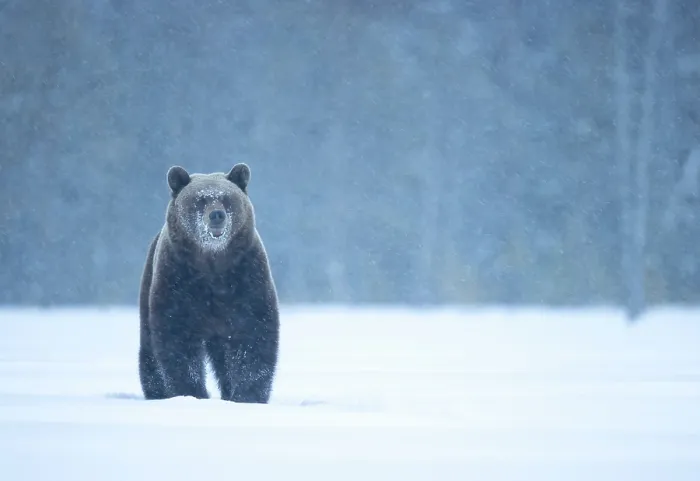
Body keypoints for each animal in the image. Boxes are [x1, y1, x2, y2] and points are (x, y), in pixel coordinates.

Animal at [138, 163, 280, 404]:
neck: (212, 264)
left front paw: (247, 396)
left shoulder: (247, 277)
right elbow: (176, 340)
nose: (216, 215)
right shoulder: (177, 280)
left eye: (226, 198)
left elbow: (254, 335)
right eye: (200, 200)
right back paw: (156, 393)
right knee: (148, 348)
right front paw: (191, 392)